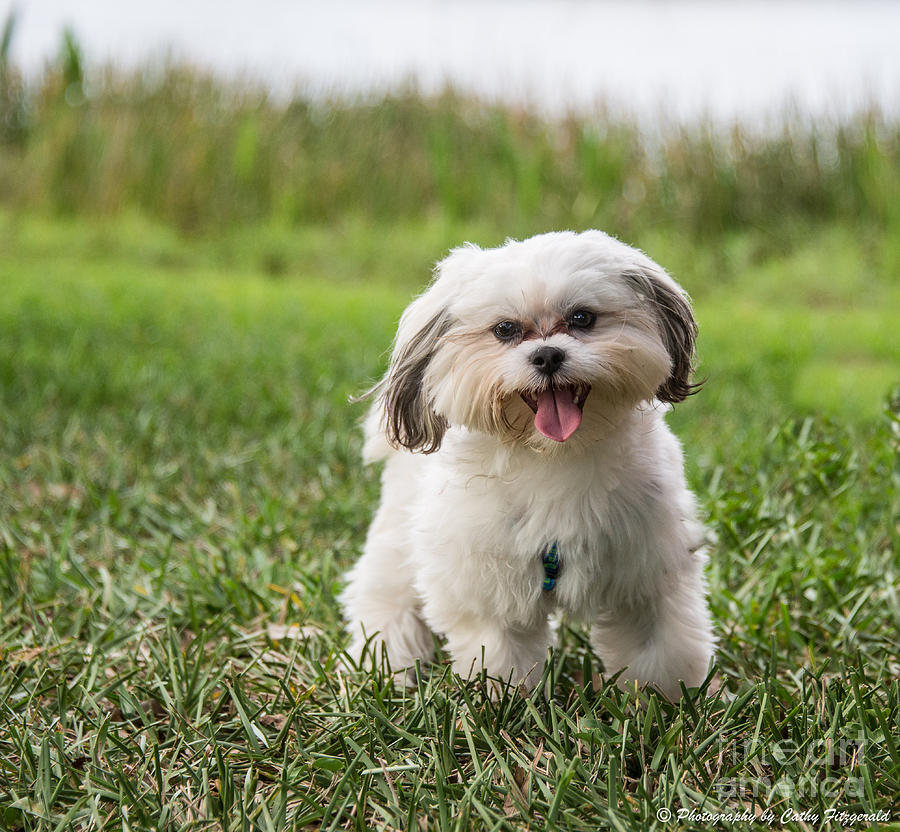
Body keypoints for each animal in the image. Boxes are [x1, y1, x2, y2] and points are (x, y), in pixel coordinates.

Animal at [342, 231, 712, 700]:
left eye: (582, 318)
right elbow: (502, 653)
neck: (553, 456)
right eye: (505, 329)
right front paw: (507, 703)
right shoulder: (488, 583)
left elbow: (659, 650)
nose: (548, 355)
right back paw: (385, 664)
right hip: (397, 536)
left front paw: (668, 703)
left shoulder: (647, 569)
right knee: (385, 596)